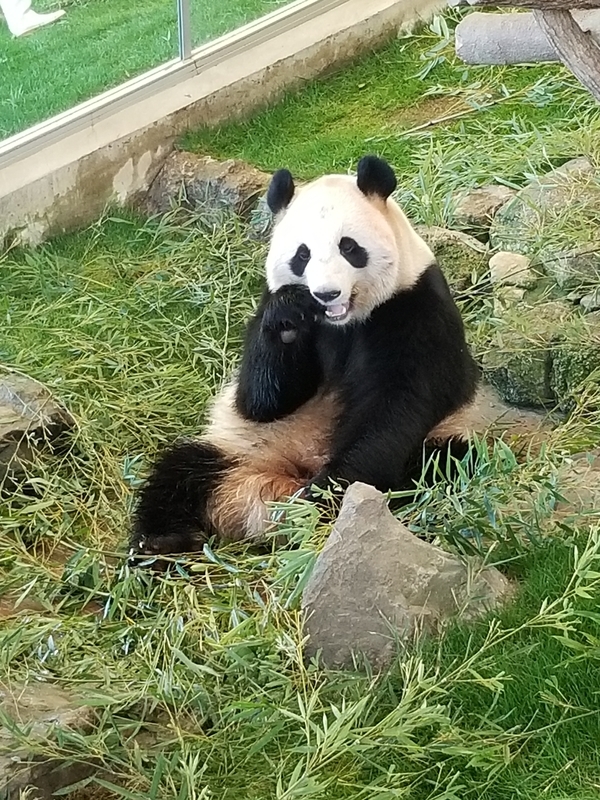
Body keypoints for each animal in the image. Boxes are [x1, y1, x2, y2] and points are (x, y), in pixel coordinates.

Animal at [129, 155, 479, 561]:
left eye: (349, 247)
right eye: (302, 254)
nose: (326, 293)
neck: (342, 323)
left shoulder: (415, 308)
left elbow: (397, 405)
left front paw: (326, 492)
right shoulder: (268, 312)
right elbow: (259, 400)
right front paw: (288, 321)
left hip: (442, 440)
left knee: (444, 461)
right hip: (238, 449)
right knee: (180, 470)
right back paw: (163, 541)